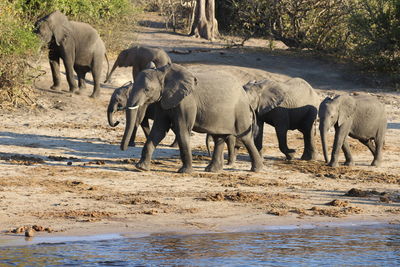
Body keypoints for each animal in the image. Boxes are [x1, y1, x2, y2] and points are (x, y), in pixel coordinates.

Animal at [120, 64, 264, 175]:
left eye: (147, 89)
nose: (124, 149)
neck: (164, 73)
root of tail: (244, 94)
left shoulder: (186, 102)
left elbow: (182, 130)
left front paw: (184, 172)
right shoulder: (163, 101)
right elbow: (159, 131)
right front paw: (141, 168)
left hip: (240, 111)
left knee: (245, 138)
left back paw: (256, 169)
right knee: (219, 137)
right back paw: (212, 170)